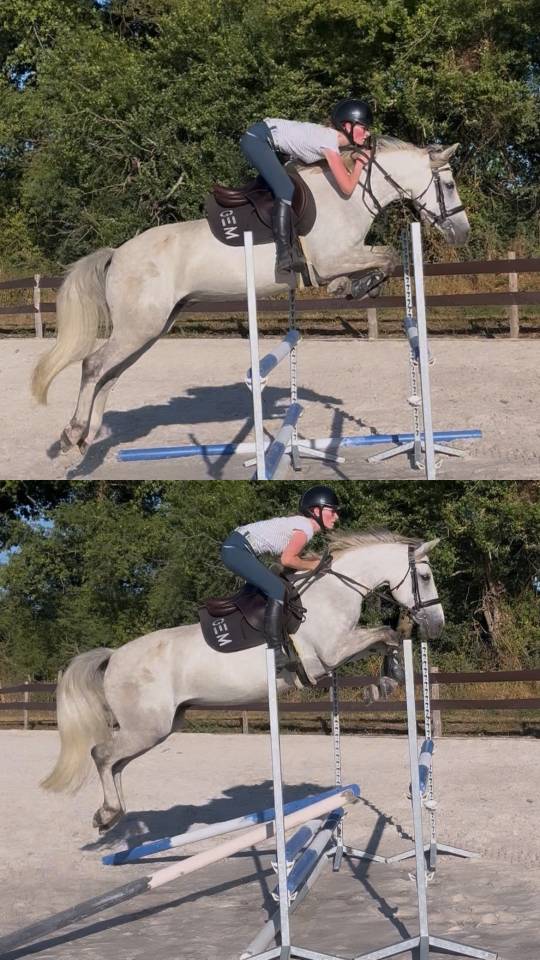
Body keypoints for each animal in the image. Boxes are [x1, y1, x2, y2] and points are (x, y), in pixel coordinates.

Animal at [31, 138, 469, 456]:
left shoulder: (345, 256)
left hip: (149, 330)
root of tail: (117, 254)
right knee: (93, 365)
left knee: (109, 375)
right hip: (139, 327)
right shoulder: (331, 259)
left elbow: (385, 258)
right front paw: (352, 287)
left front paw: (351, 287)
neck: (346, 196)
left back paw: (88, 437)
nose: (462, 233)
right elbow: (389, 256)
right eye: (448, 185)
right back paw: (72, 433)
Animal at [41, 531, 444, 833]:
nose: (437, 625)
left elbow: (386, 639)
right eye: (425, 577)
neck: (334, 592)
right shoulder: (329, 654)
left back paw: (115, 815)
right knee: (102, 755)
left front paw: (385, 682)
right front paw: (385, 682)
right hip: (147, 728)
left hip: (158, 728)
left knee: (116, 763)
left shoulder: (341, 649)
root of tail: (113, 658)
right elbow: (386, 634)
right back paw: (108, 813)